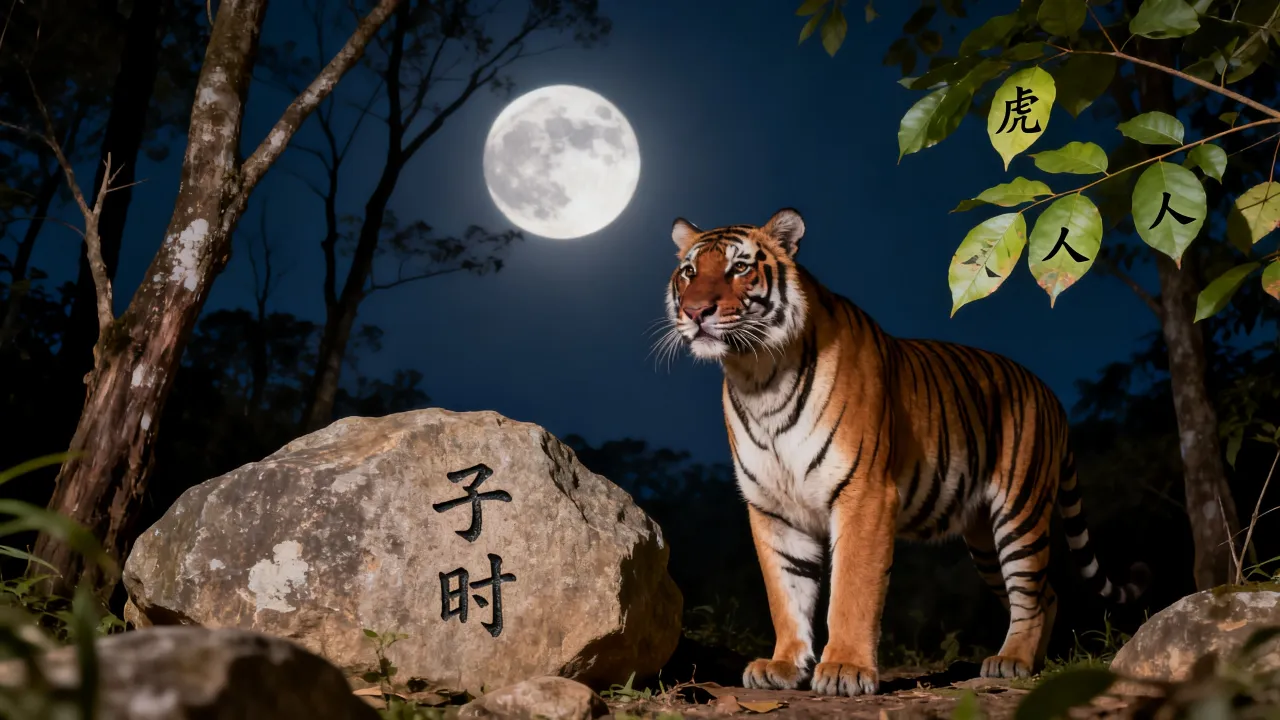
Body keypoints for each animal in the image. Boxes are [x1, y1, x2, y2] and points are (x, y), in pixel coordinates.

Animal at [661, 207, 1149, 697]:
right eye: (689, 272)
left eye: (739, 268)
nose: (695, 311)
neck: (758, 376)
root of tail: (1051, 395)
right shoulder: (772, 508)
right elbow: (785, 591)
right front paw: (783, 665)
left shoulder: (864, 493)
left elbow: (852, 589)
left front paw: (844, 668)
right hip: (983, 539)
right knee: (1046, 594)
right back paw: (1026, 660)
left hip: (1020, 512)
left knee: (1032, 591)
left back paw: (1012, 661)